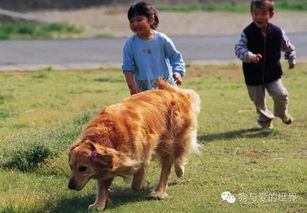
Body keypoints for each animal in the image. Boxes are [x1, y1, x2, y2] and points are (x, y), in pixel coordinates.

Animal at [68, 80, 201, 211]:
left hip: (169, 140)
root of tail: (170, 91)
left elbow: (136, 183)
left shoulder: (141, 153)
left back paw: (160, 190)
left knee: (169, 164)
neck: (108, 135)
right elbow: (102, 185)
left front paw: (143, 184)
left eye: (83, 168)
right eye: (71, 166)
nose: (70, 186)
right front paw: (99, 204)